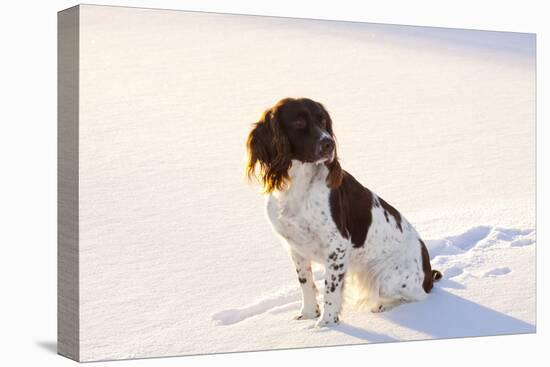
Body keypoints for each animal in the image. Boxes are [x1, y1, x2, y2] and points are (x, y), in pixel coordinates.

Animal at [247, 98, 444, 328]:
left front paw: (325, 325)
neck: (298, 186)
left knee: (417, 297)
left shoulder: (337, 247)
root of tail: (428, 273)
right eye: (298, 122)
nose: (328, 144)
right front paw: (308, 315)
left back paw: (380, 306)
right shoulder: (295, 247)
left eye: (323, 120)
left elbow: (330, 291)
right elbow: (306, 283)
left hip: (387, 279)